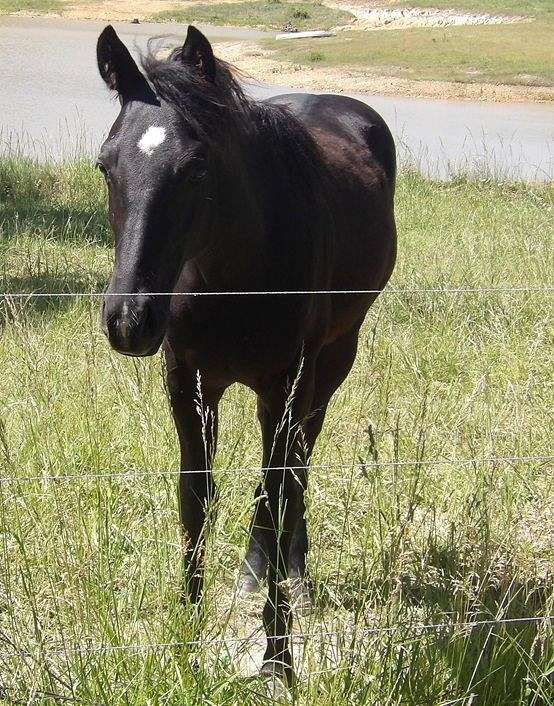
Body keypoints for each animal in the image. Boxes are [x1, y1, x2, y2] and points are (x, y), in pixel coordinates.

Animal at [96, 24, 397, 688]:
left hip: (331, 359)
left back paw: (290, 573)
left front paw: (279, 658)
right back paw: (258, 572)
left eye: (196, 167)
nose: (129, 321)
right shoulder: (187, 379)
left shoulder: (284, 381)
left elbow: (277, 487)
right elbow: (195, 495)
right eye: (106, 164)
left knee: (298, 460)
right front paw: (186, 634)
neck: (231, 278)